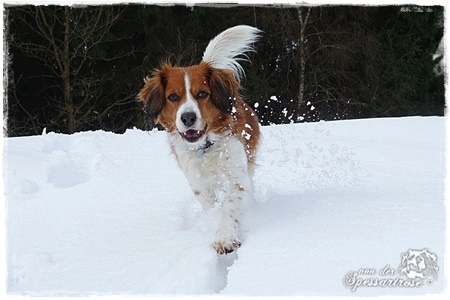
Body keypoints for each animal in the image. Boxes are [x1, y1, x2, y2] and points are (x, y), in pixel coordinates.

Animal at [139, 26, 262, 255]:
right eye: (172, 97)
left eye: (203, 94)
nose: (188, 118)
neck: (204, 148)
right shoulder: (197, 181)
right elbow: (210, 204)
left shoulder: (237, 175)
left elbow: (229, 205)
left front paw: (225, 237)